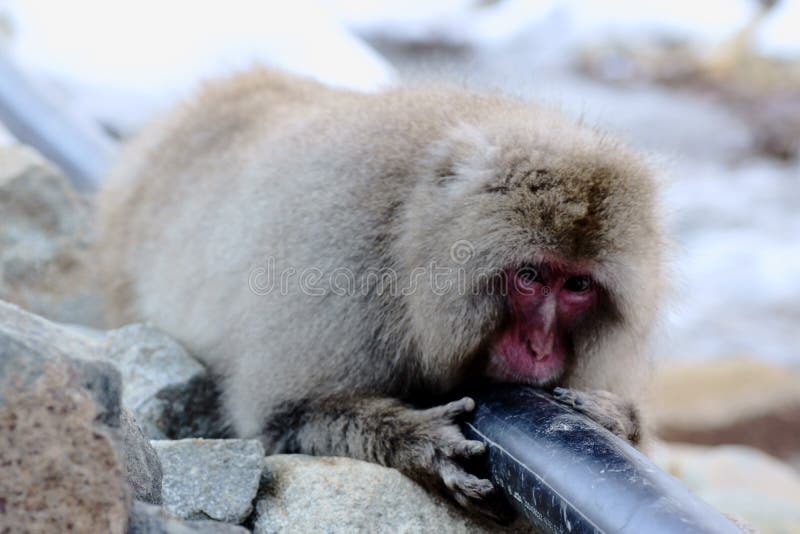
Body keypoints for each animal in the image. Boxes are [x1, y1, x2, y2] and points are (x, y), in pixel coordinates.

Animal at [97, 67, 664, 517]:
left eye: (577, 285)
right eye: (530, 277)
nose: (540, 348)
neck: (409, 241)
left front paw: (619, 421)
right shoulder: (341, 270)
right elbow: (282, 419)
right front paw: (418, 443)